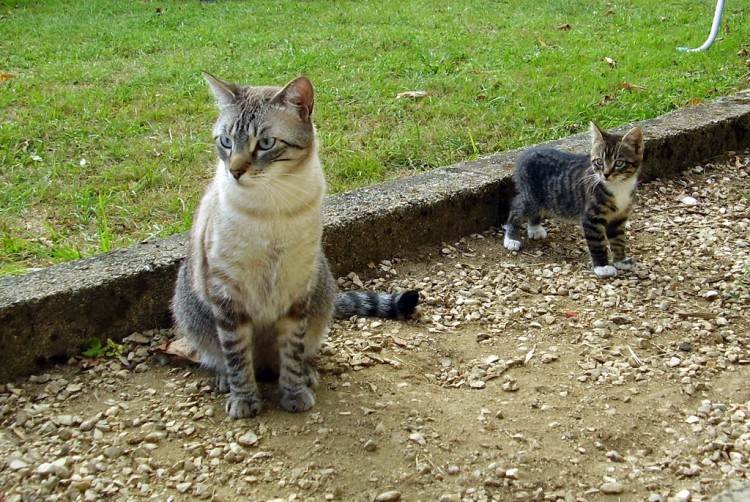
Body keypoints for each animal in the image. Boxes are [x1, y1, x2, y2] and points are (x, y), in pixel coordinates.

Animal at [173, 73, 420, 420]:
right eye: (226, 142)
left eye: (265, 143)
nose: (235, 171)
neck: (274, 205)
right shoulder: (227, 296)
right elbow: (237, 357)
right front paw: (244, 400)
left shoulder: (296, 289)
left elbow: (291, 352)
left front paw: (294, 394)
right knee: (221, 357)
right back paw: (226, 380)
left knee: (295, 355)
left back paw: (306, 374)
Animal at [506, 122, 648, 278]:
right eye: (599, 162)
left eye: (619, 163)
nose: (606, 174)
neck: (618, 186)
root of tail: (526, 153)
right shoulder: (591, 217)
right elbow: (597, 243)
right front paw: (602, 266)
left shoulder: (619, 216)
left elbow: (618, 239)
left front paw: (621, 260)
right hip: (531, 196)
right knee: (516, 209)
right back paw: (511, 238)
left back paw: (535, 228)